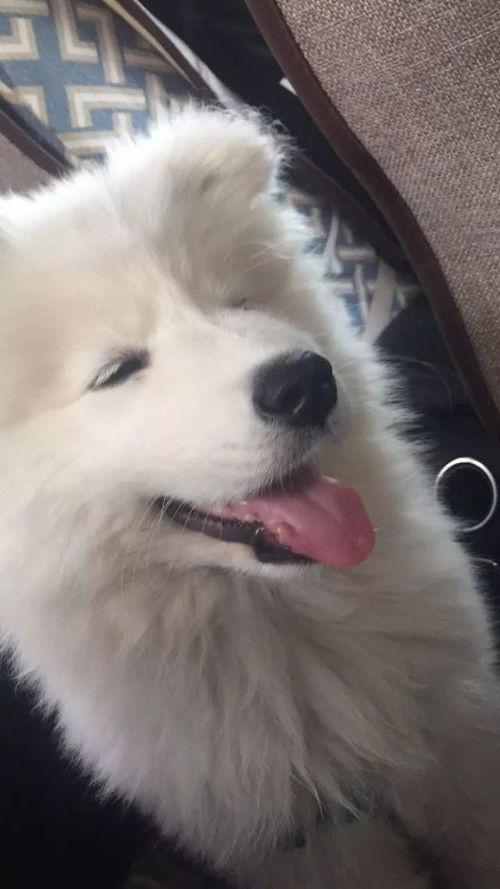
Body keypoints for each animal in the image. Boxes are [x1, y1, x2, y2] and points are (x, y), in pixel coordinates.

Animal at [1, 108, 500, 888]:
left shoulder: (460, 735)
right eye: (117, 371)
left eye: (239, 302)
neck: (284, 630)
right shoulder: (317, 844)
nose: (305, 384)